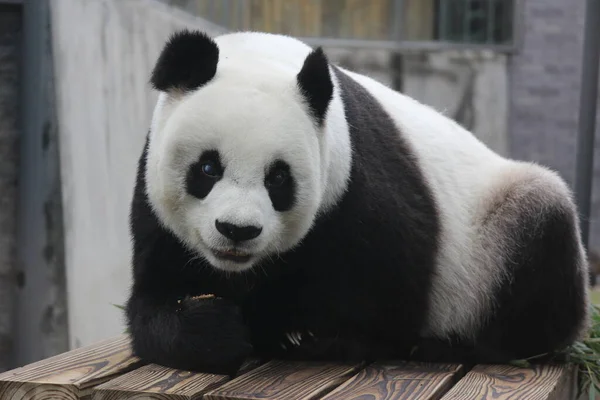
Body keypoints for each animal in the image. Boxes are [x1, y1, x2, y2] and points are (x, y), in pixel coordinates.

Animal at [126, 28, 592, 376]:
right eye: (208, 168)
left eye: (278, 178)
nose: (238, 231)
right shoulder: (155, 208)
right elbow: (152, 302)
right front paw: (216, 328)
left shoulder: (357, 189)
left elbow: (391, 296)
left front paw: (299, 332)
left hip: (496, 230)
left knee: (540, 244)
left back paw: (450, 346)